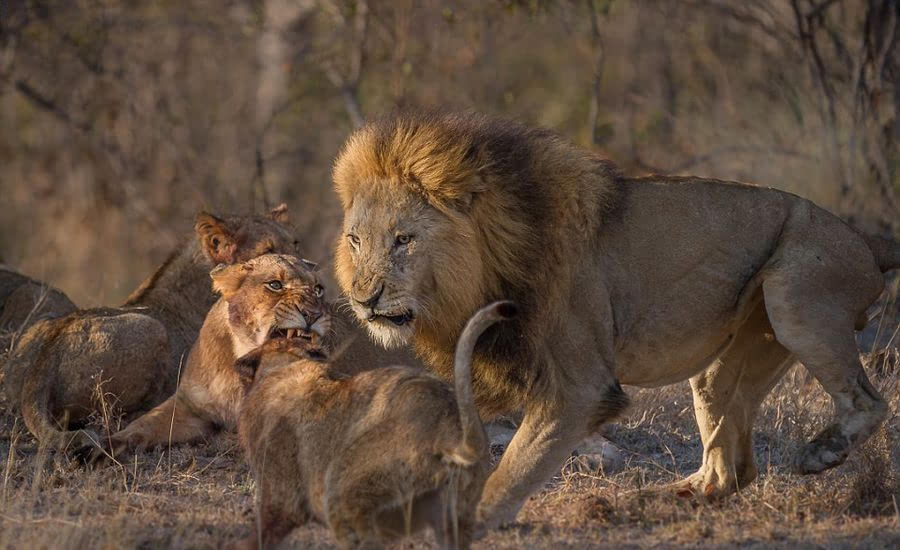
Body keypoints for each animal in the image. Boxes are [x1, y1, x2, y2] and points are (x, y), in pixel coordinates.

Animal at [232, 302, 516, 550]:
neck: (289, 364)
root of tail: (449, 431)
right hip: (454, 516)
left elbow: (260, 535)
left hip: (343, 496)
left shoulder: (282, 498)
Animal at [332, 110, 900, 528]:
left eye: (404, 239)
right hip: (727, 361)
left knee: (870, 402)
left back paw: (821, 453)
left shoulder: (582, 387)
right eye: (355, 240)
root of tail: (862, 236)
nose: (364, 299)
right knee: (730, 469)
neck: (488, 261)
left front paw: (465, 521)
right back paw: (660, 499)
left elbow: (514, 466)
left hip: (794, 294)